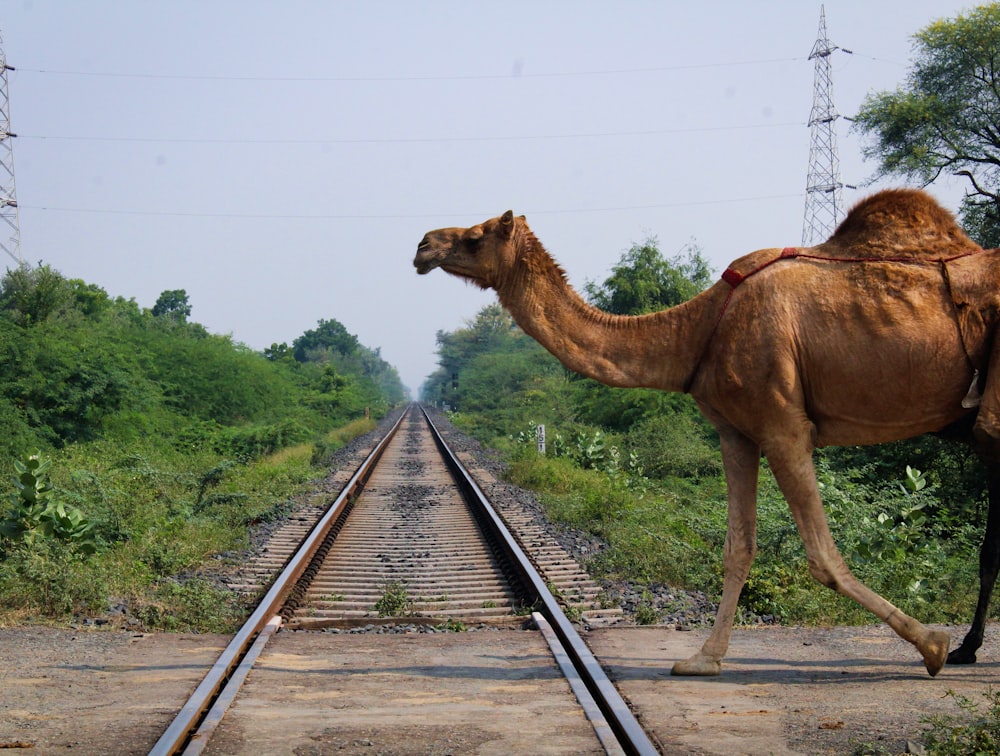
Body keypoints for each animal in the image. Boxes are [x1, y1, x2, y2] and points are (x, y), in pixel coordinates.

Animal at [416, 190, 1000, 680]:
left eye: (475, 236)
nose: (423, 245)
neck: (698, 329)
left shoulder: (784, 424)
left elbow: (821, 554)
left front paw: (932, 645)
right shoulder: (736, 432)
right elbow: (738, 548)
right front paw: (702, 659)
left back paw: (962, 650)